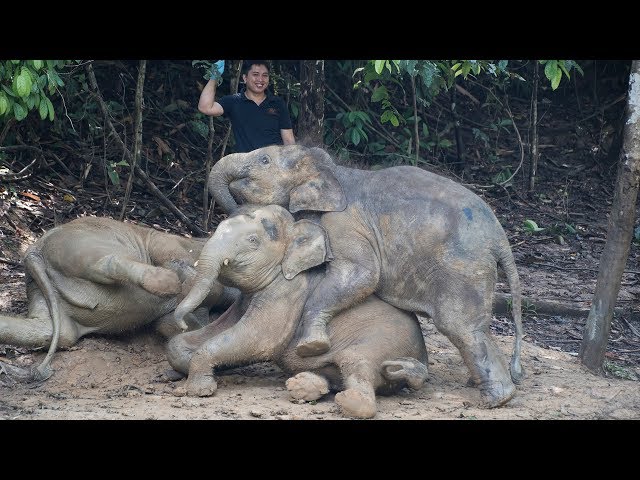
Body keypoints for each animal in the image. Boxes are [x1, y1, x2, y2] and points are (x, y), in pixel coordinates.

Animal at [0, 216, 240, 380]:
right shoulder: (167, 241)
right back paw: (169, 282)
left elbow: (168, 323)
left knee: (56, 332)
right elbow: (175, 258)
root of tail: (34, 251)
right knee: (105, 261)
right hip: (78, 244)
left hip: (39, 289)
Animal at [170, 204, 430, 418]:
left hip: (385, 340)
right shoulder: (243, 302)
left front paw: (200, 390)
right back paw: (303, 386)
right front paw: (188, 364)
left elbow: (259, 340)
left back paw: (348, 401)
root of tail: (422, 361)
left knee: (357, 361)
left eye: (253, 240)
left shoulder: (288, 292)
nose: (181, 322)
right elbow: (214, 332)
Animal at [208, 143, 524, 408]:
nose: (238, 211)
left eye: (263, 160)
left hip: (463, 266)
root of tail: (501, 238)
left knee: (461, 327)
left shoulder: (344, 224)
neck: (333, 171)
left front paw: (312, 345)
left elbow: (362, 273)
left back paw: (494, 400)